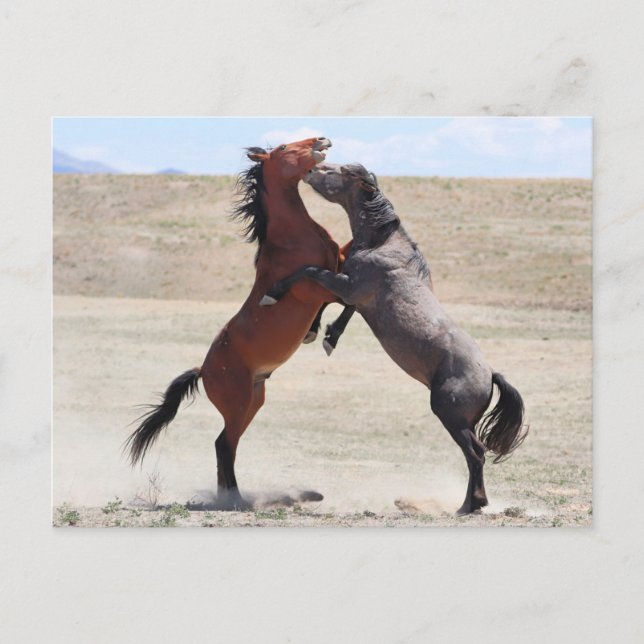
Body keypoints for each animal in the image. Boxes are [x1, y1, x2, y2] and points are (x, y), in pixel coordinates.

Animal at [125, 137, 350, 510]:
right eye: (285, 147)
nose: (321, 140)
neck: (294, 238)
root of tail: (203, 370)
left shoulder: (337, 264)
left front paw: (316, 331)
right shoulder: (316, 287)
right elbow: (344, 295)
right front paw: (320, 331)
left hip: (254, 400)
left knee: (227, 445)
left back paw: (231, 497)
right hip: (239, 402)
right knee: (223, 444)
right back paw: (236, 500)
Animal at [260, 163, 527, 515]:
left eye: (340, 171)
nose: (312, 169)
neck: (383, 244)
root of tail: (489, 374)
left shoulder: (348, 285)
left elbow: (310, 273)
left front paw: (274, 295)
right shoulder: (354, 294)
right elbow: (337, 305)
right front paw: (324, 334)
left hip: (450, 416)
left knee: (476, 454)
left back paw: (469, 505)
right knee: (475, 454)